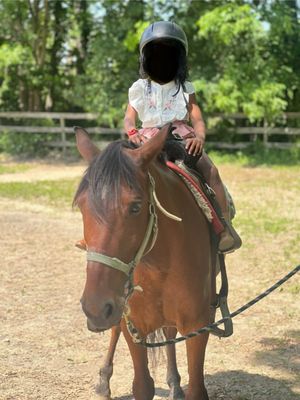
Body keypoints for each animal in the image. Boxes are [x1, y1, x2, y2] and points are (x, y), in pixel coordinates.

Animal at [72, 126, 213, 400]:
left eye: (136, 207)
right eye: (82, 207)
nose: (95, 307)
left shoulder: (197, 326)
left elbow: (196, 388)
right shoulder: (133, 326)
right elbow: (142, 385)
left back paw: (174, 383)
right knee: (115, 328)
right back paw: (104, 379)